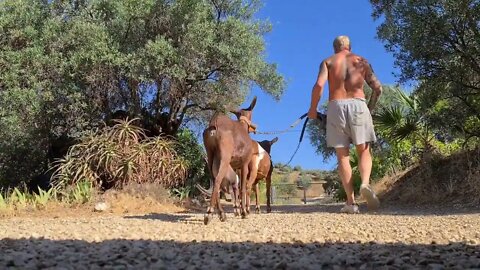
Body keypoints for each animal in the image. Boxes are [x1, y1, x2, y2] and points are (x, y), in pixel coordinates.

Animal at [202, 96, 256, 224]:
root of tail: (214, 123)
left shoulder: (235, 167)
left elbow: (235, 187)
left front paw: (237, 210)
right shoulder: (244, 165)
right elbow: (242, 188)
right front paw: (243, 212)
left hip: (210, 156)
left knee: (214, 181)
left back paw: (222, 213)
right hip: (225, 158)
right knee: (217, 180)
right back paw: (209, 213)